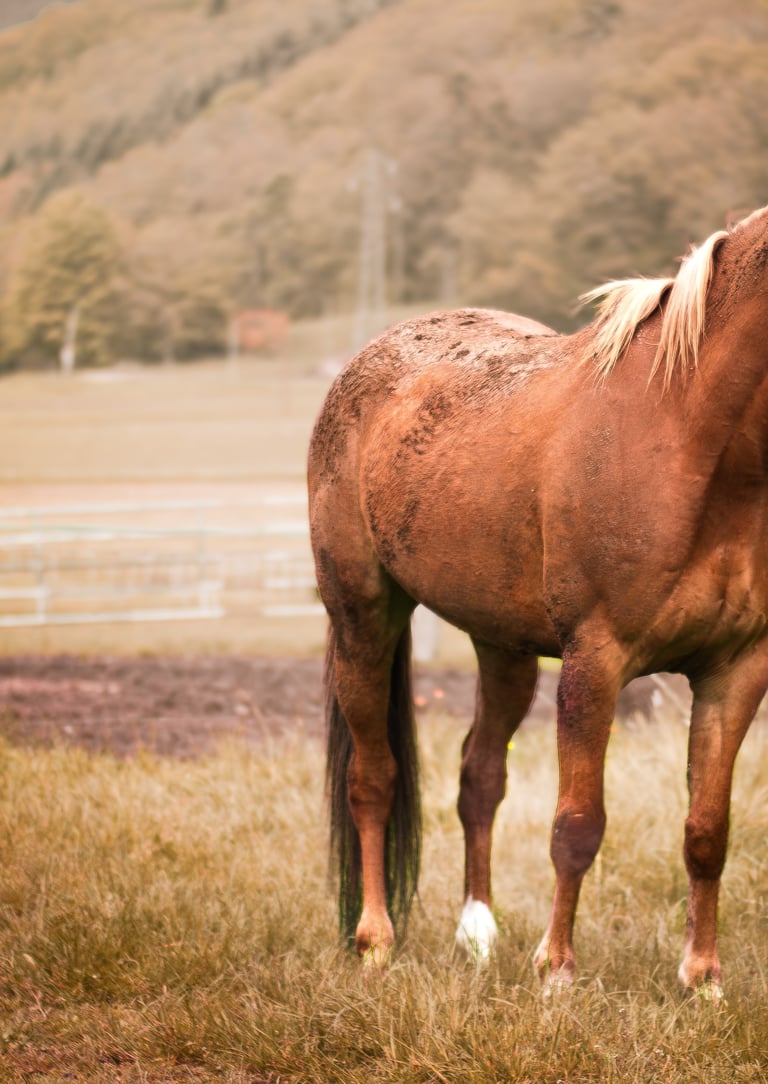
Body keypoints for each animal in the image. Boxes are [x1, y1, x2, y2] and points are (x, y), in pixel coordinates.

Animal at [307, 206, 768, 998]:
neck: (695, 440)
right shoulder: (594, 662)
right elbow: (577, 824)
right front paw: (557, 970)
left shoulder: (735, 671)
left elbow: (708, 830)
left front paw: (702, 977)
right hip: (364, 617)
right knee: (373, 780)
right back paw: (375, 940)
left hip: (503, 647)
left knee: (479, 775)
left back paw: (477, 934)